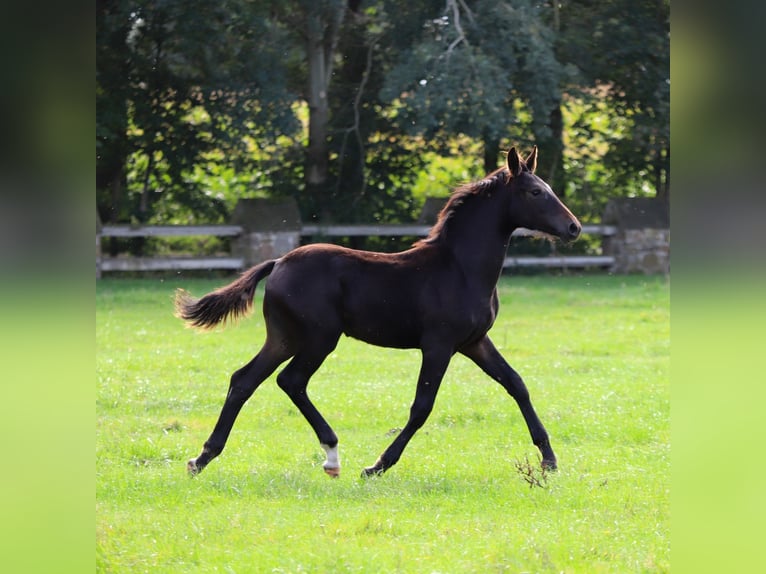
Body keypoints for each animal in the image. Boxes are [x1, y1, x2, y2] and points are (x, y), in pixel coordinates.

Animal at [176, 147, 581, 478]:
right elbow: (422, 406)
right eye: (535, 192)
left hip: (284, 337)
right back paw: (332, 455)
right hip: (319, 338)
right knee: (290, 381)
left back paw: (202, 458)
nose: (574, 227)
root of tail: (277, 263)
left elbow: (516, 384)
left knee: (244, 380)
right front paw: (378, 465)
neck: (459, 268)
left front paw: (549, 460)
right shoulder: (439, 344)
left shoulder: (475, 341)